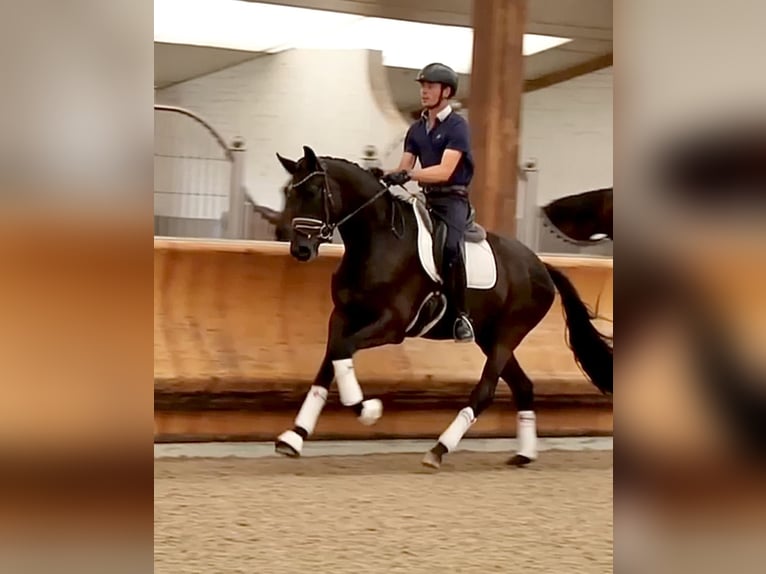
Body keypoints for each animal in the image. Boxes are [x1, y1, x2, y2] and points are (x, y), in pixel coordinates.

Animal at [272, 145, 612, 469]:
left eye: (313, 191)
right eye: (289, 192)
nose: (300, 249)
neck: (376, 242)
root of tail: (540, 266)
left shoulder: (392, 324)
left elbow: (342, 351)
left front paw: (367, 409)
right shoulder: (342, 316)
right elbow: (331, 360)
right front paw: (294, 437)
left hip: (507, 334)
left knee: (486, 391)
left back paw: (439, 449)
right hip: (489, 336)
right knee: (524, 386)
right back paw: (524, 454)